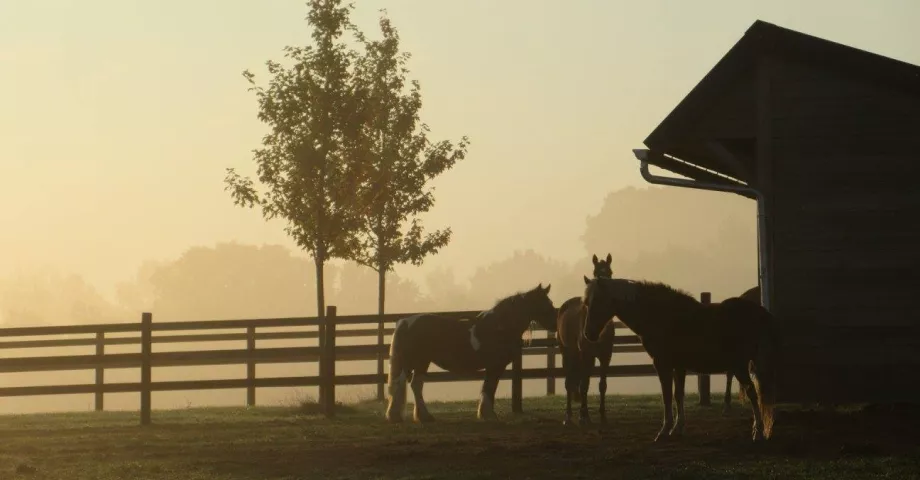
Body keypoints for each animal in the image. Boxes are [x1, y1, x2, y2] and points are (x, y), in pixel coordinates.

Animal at [385, 283, 558, 423]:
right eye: (546, 304)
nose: (556, 325)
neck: (499, 327)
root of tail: (406, 321)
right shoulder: (495, 366)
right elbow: (489, 388)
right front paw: (488, 415)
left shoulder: (493, 367)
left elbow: (489, 388)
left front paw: (485, 414)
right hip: (414, 361)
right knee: (404, 384)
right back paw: (402, 416)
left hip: (421, 362)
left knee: (414, 385)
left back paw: (421, 417)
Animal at [554, 253, 616, 426]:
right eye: (595, 272)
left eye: (610, 272)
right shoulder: (587, 355)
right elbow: (584, 384)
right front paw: (585, 416)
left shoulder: (605, 356)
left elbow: (602, 385)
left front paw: (602, 416)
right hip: (567, 354)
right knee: (570, 383)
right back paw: (568, 416)